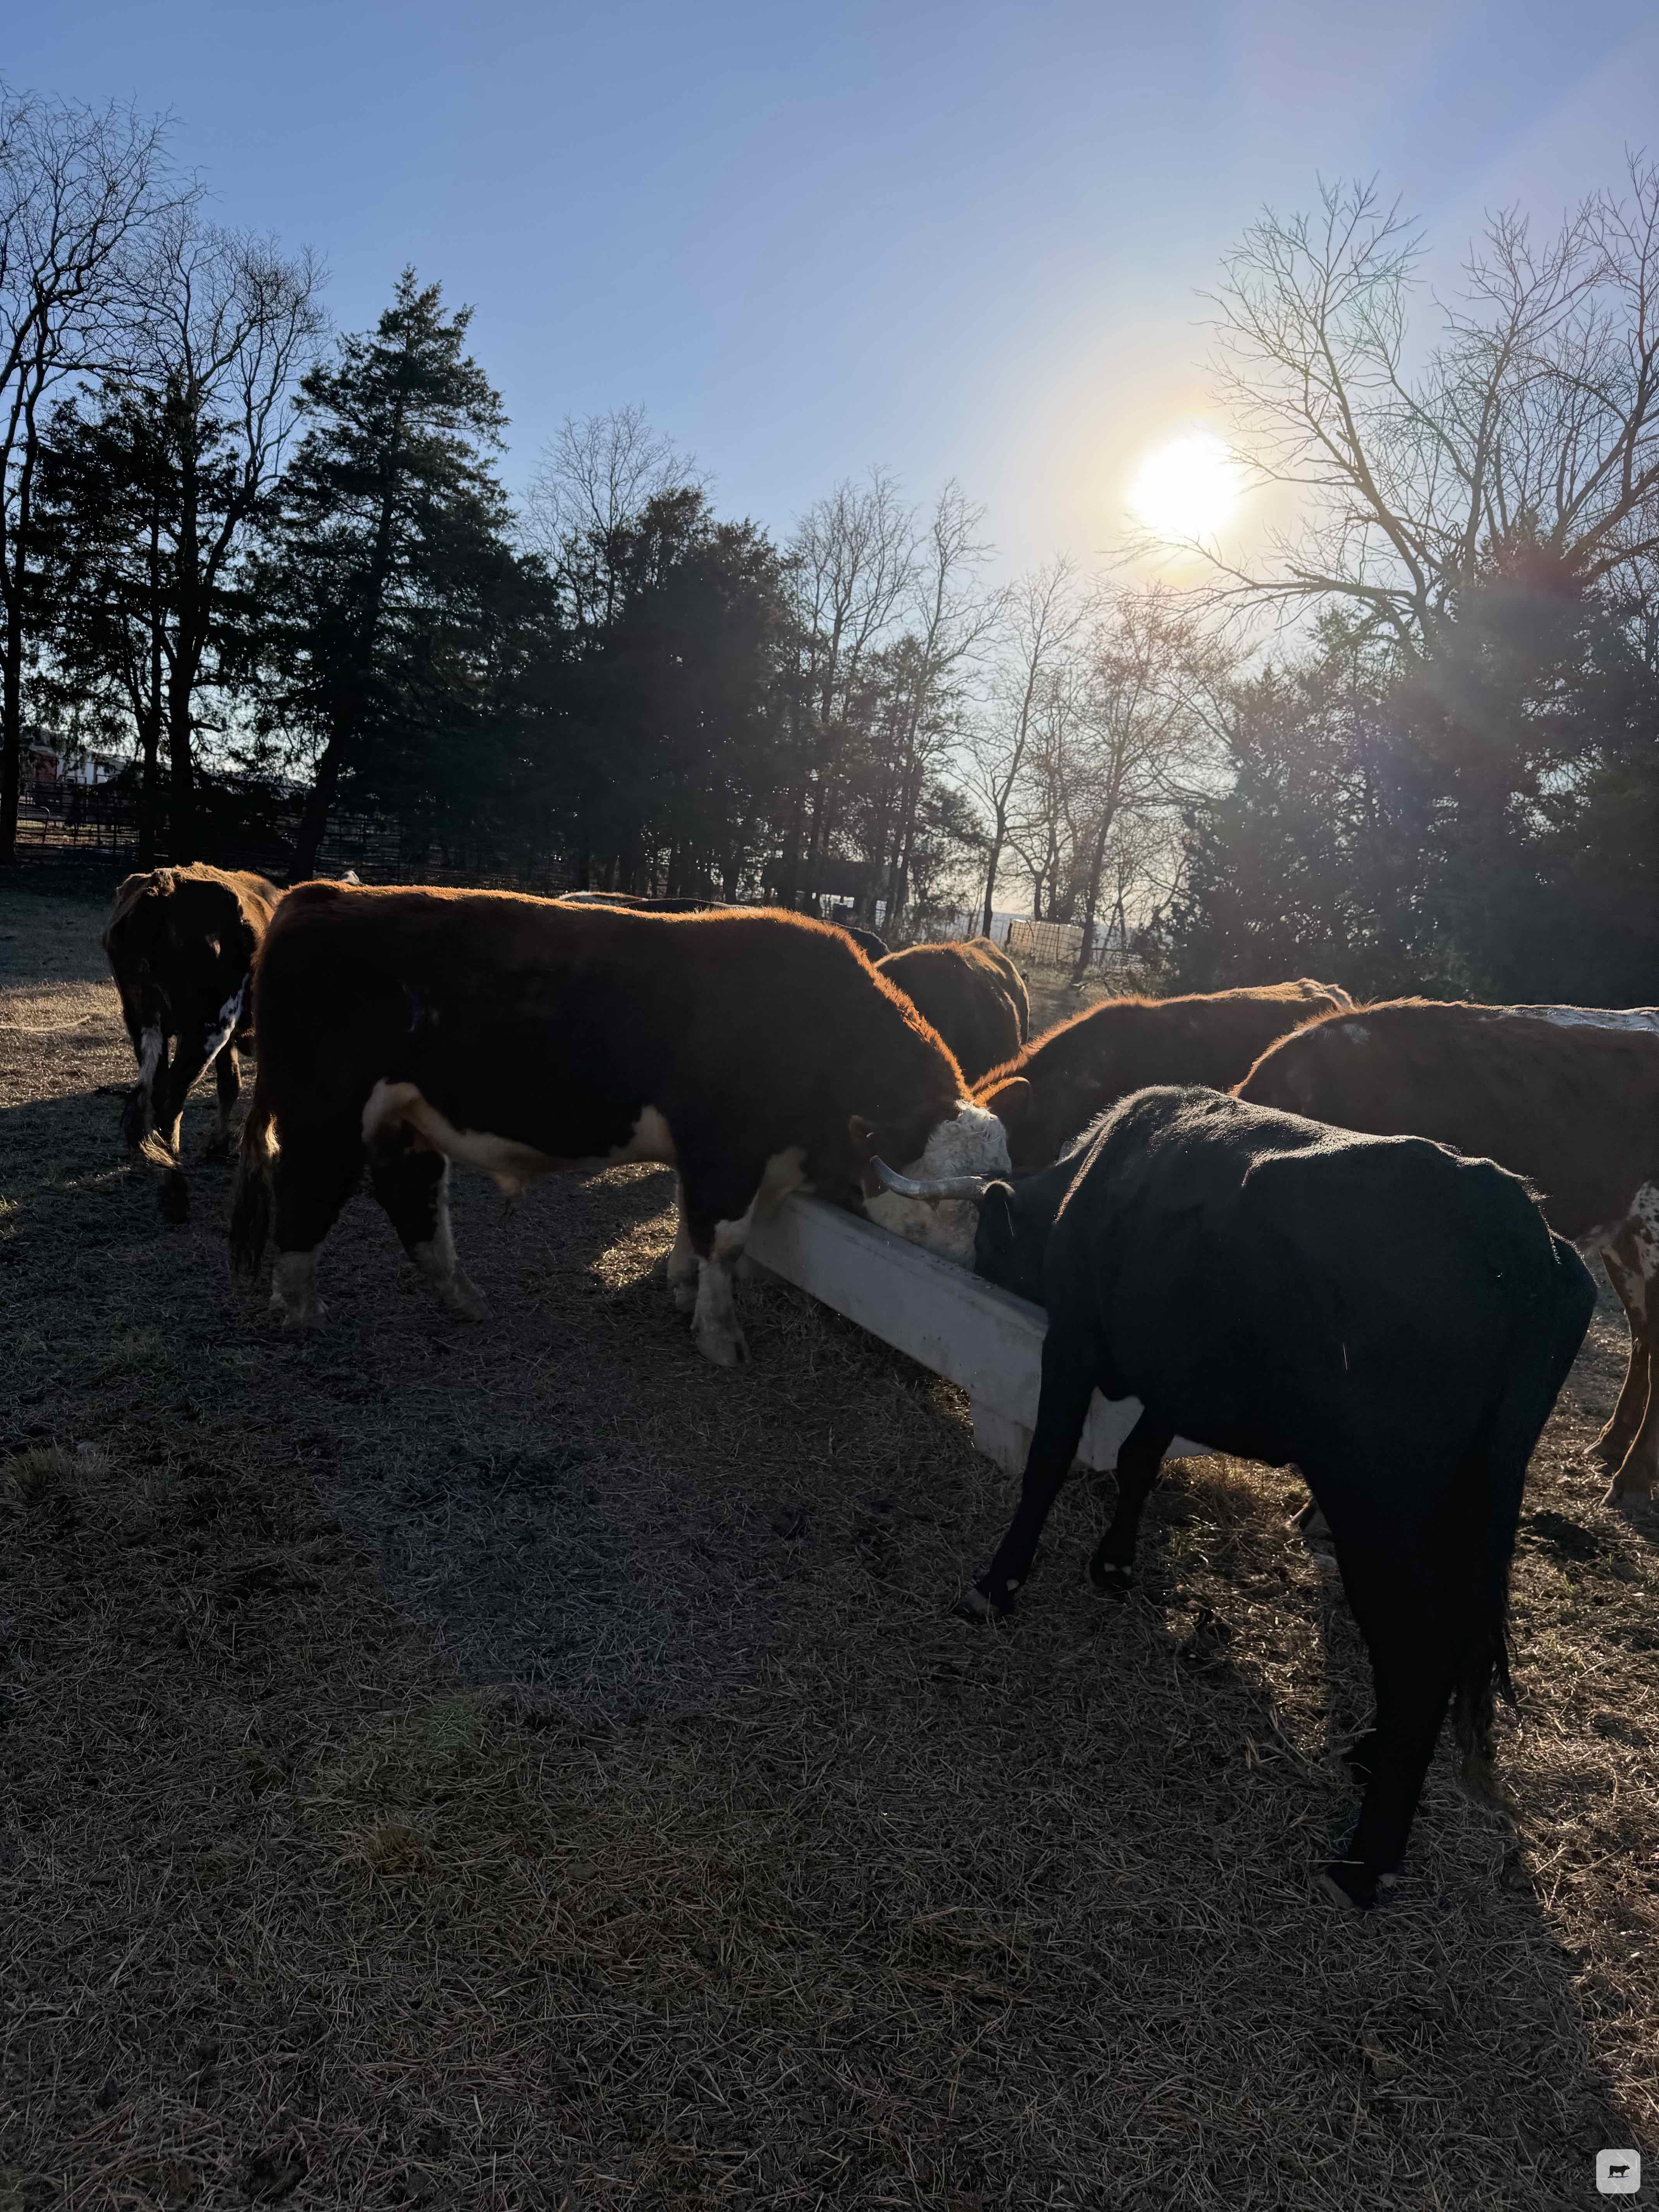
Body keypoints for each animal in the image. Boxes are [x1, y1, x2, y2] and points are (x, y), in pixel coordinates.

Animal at [103, 863, 282, 1220]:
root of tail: (162, 888)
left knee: (160, 1091)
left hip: (142, 1022)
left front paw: (220, 1145)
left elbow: (230, 1084)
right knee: (171, 1099)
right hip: (208, 1028)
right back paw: (176, 1193)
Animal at [229, 886, 1010, 1363]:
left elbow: (692, 1227)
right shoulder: (726, 1153)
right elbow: (724, 1241)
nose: (970, 1276)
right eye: (937, 1210)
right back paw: (300, 1310)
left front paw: (682, 1287)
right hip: (323, 1114)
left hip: (404, 1117)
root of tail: (320, 896)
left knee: (412, 1194)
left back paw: (461, 1296)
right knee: (306, 1194)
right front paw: (719, 1336)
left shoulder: (717, 1162)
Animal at [873, 1086, 1595, 1909]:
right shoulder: (1170, 1379)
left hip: (1375, 1507)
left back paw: (1365, 1860)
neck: (1096, 1177)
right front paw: (1113, 1564)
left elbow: (1048, 1462)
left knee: (1417, 1652)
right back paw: (1368, 1753)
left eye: (988, 1241)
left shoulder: (1075, 1340)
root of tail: (1516, 1221)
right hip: (1460, 1509)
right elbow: (1137, 1458)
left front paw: (996, 1584)